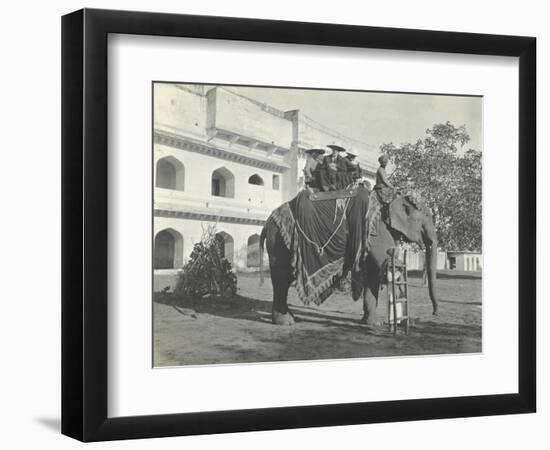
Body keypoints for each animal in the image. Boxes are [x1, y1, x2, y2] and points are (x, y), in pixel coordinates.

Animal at [260, 192, 444, 326]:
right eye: (427, 216)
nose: (435, 313)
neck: (388, 206)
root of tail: (267, 222)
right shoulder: (377, 234)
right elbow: (383, 266)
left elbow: (373, 276)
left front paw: (372, 324)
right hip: (279, 242)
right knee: (281, 279)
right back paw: (286, 322)